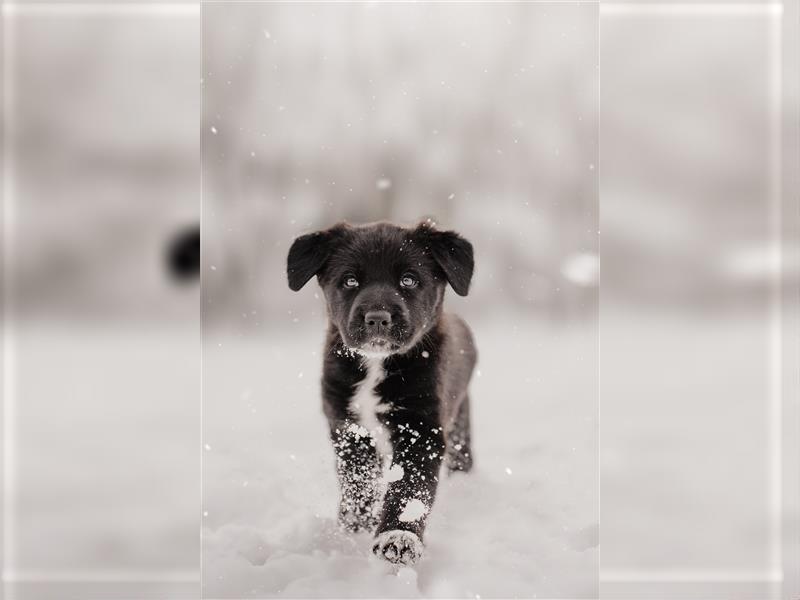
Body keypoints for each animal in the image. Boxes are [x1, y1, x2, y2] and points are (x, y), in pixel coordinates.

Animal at [286, 221, 476, 568]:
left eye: (409, 279)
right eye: (350, 280)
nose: (377, 318)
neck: (376, 364)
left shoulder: (422, 429)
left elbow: (409, 490)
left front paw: (398, 538)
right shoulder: (349, 428)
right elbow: (358, 481)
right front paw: (355, 529)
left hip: (460, 418)